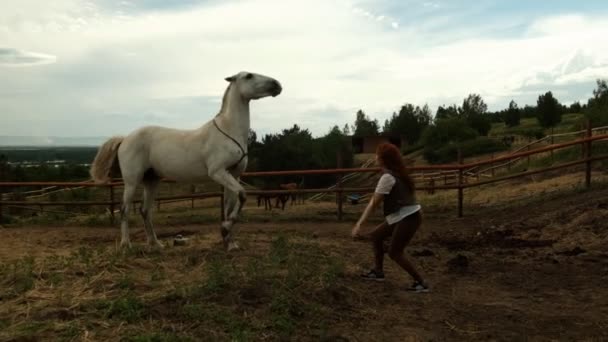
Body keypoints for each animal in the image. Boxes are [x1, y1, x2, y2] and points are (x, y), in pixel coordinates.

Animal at [89, 71, 282, 251]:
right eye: (249, 76)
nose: (277, 85)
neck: (229, 131)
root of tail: (125, 139)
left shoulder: (233, 174)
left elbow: (230, 206)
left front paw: (230, 243)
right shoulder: (218, 172)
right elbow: (242, 195)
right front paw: (225, 229)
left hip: (152, 180)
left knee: (145, 211)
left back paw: (156, 244)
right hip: (131, 181)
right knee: (125, 210)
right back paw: (126, 244)